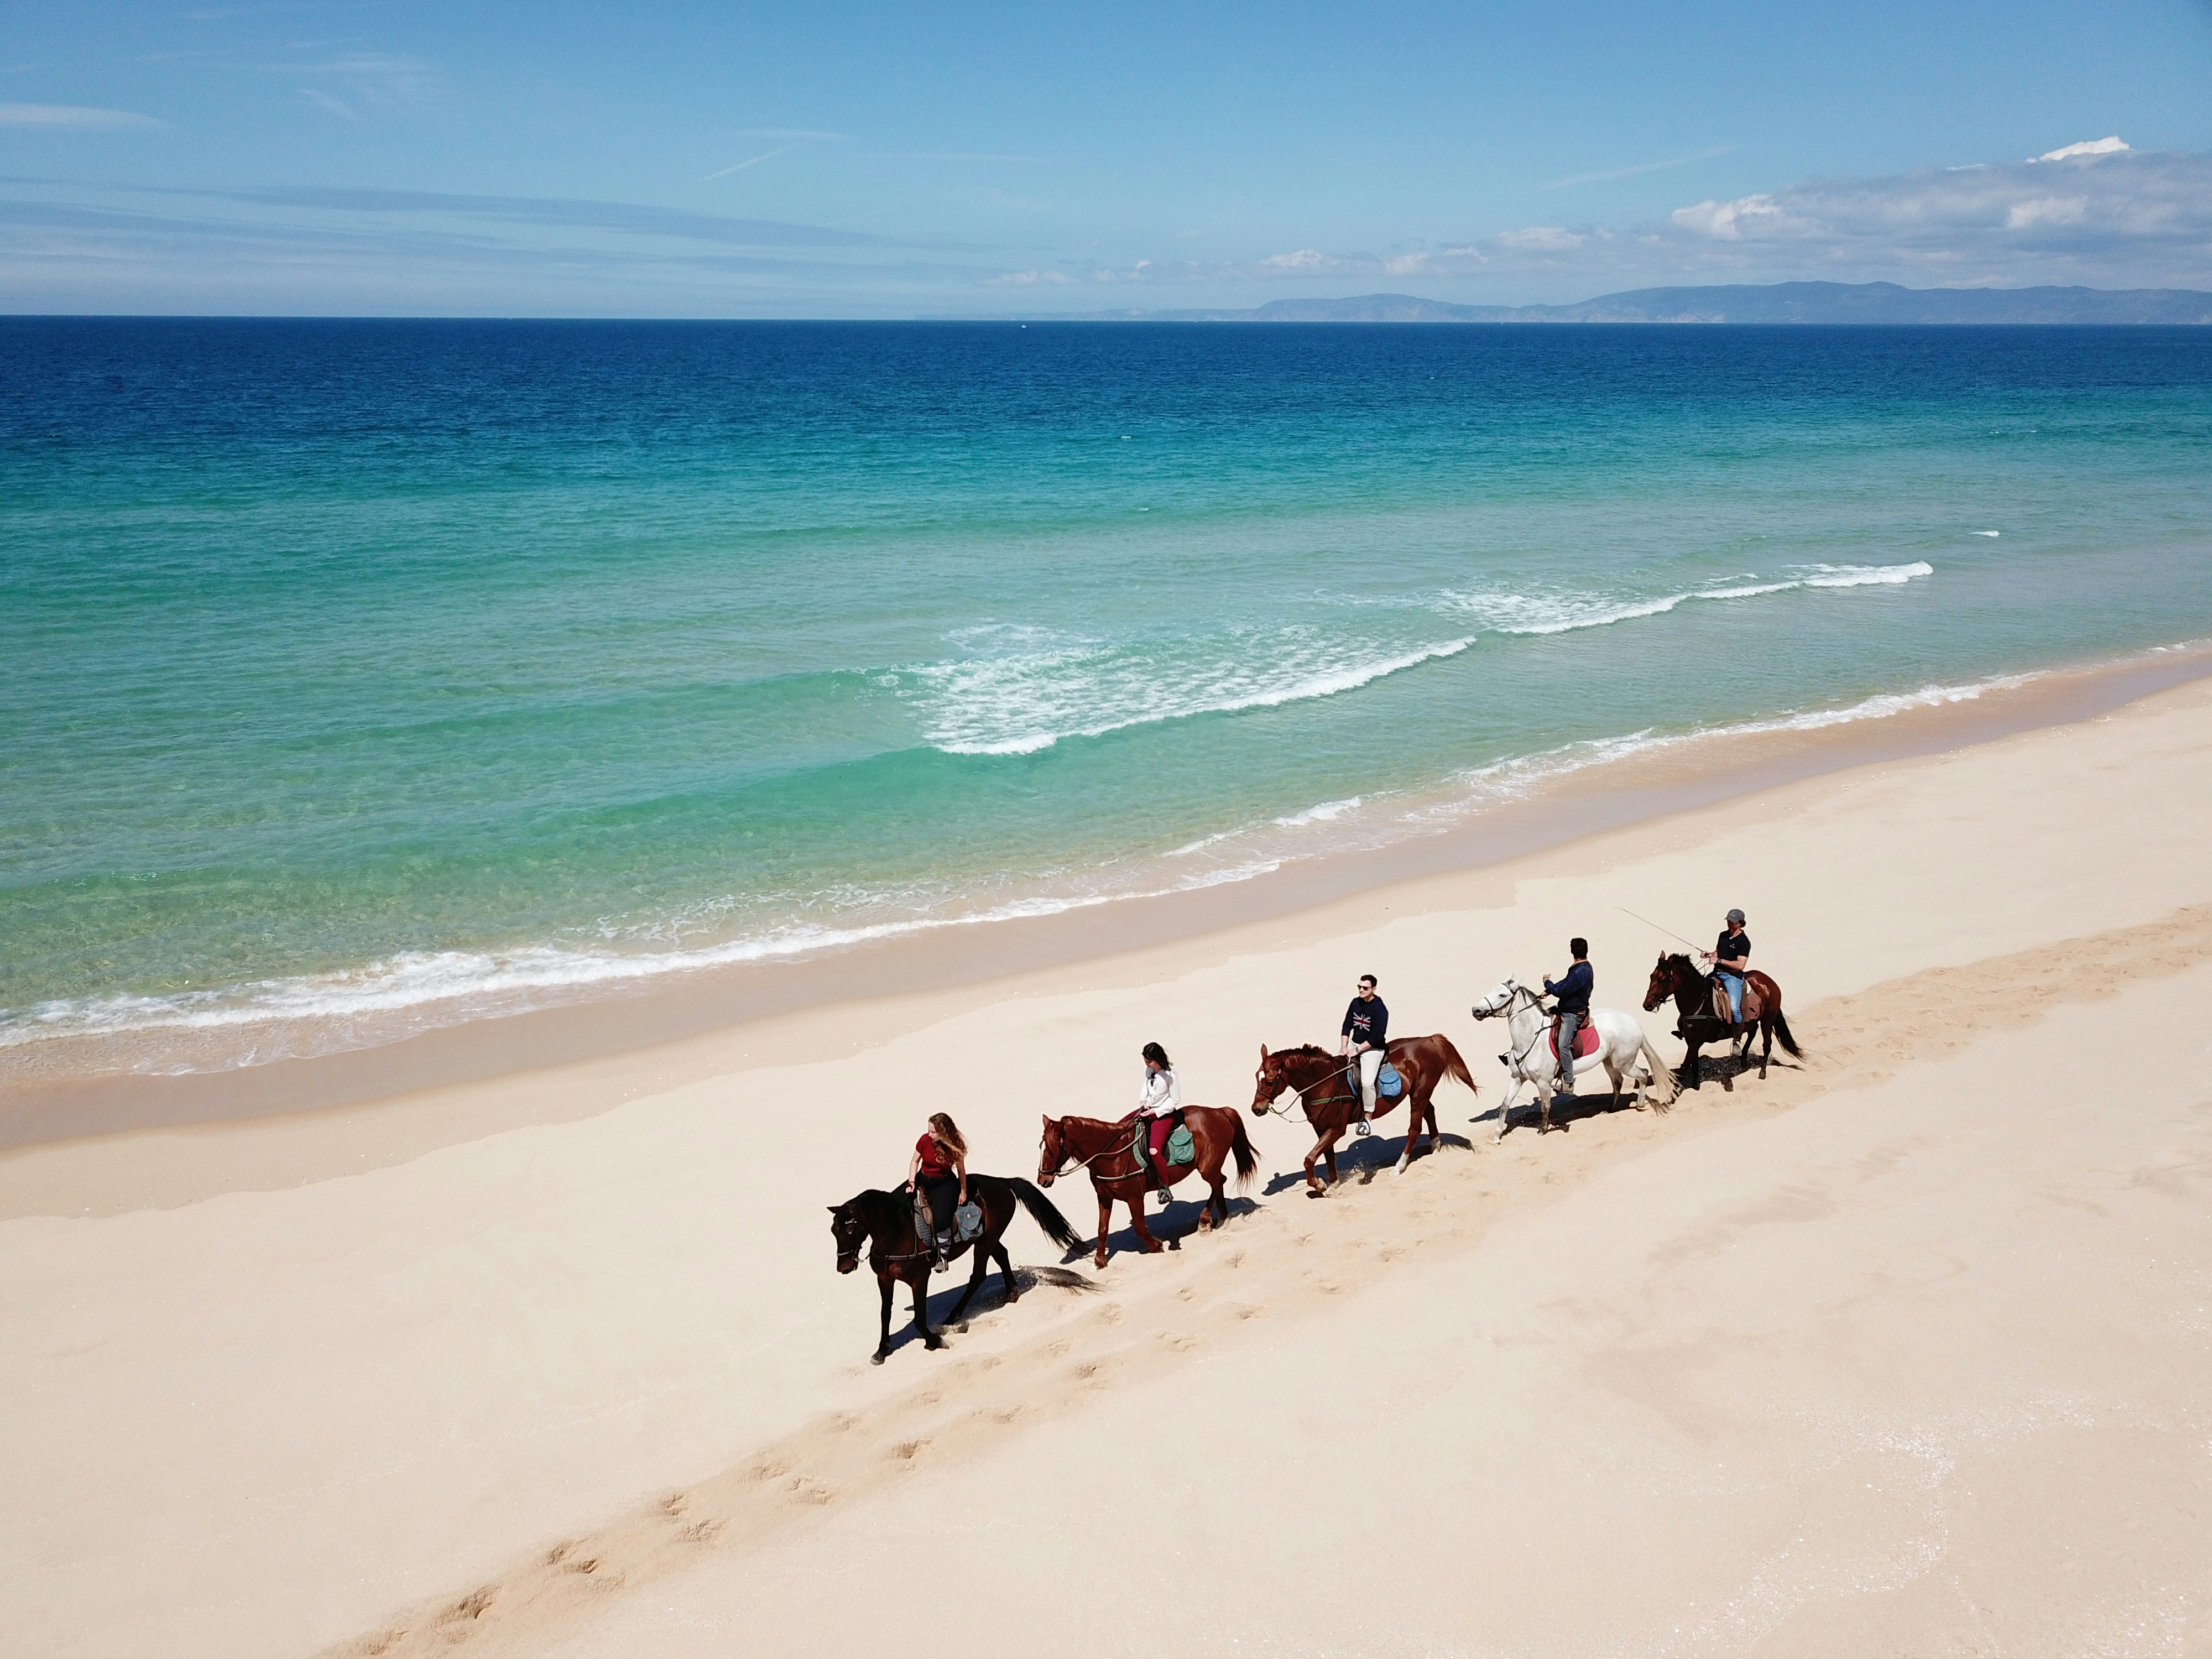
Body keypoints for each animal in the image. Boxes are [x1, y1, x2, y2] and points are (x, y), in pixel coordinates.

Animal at [829, 1173, 1083, 1365]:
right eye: (833, 1231)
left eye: (851, 1229)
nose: (844, 1267)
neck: (896, 1232)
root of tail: (1002, 1181)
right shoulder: (884, 1279)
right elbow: (885, 1314)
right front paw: (882, 1351)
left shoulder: (919, 1279)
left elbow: (919, 1318)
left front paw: (935, 1342)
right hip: (987, 1239)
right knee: (1002, 1256)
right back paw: (1011, 1293)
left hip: (984, 1242)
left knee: (978, 1275)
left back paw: (954, 1315)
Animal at [1037, 1106, 1258, 1268]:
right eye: (1041, 1146)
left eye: (1053, 1148)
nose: (1042, 1180)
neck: (1111, 1156)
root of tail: (1220, 1111)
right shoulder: (1104, 1197)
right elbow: (1102, 1228)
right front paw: (1100, 1261)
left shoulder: (1135, 1197)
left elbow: (1140, 1226)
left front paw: (1156, 1245)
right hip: (1210, 1168)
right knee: (1219, 1183)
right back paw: (1220, 1218)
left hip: (1207, 1168)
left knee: (1218, 1183)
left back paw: (1207, 1220)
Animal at [1249, 1035, 1479, 1192]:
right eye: (1256, 1076)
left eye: (1270, 1081)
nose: (1256, 1109)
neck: (1324, 1083)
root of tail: (1430, 1039)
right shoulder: (1321, 1128)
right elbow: (1327, 1156)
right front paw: (1333, 1184)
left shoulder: (1336, 1129)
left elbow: (1309, 1159)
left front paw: (1319, 1185)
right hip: (1420, 1094)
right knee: (1430, 1112)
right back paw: (1435, 1145)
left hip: (1419, 1095)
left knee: (1414, 1129)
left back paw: (1399, 1167)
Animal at [1468, 979, 1677, 1139]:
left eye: (1502, 996)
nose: (1475, 1011)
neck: (1530, 1039)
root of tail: (1635, 1022)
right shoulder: (1517, 1077)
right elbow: (1505, 1105)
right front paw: (1496, 1136)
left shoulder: (1543, 1083)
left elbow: (1545, 1106)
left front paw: (1543, 1130)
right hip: (1609, 1062)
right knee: (1618, 1081)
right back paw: (1609, 1109)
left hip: (1623, 1063)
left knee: (1642, 1074)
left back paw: (1641, 1105)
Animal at [1643, 952, 1800, 1089]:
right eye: (1651, 976)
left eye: (1662, 979)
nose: (1647, 1005)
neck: (1700, 1000)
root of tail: (1769, 981)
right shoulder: (1691, 1042)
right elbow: (1694, 1063)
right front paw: (1696, 1084)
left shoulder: (1695, 1042)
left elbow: (1684, 1068)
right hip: (1752, 1021)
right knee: (1752, 1032)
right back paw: (1743, 1060)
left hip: (1767, 1020)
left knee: (1767, 1045)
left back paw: (1762, 1072)